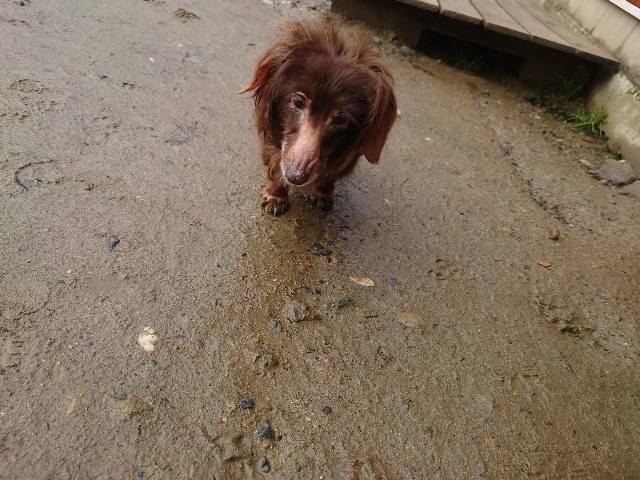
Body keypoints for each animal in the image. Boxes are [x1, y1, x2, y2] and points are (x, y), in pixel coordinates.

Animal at [239, 20, 397, 215]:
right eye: (299, 102)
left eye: (341, 119)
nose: (295, 177)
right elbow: (274, 166)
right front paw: (275, 197)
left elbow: (330, 176)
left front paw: (323, 194)